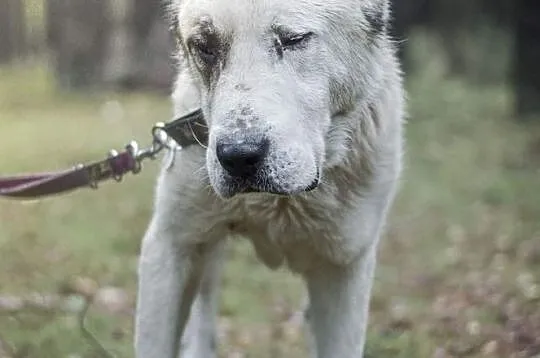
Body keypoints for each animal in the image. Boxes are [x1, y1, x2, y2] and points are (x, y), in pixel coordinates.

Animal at [135, 0, 404, 356]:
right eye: (205, 47)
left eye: (294, 39)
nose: (238, 156)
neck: (278, 204)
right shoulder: (170, 246)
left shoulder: (343, 267)